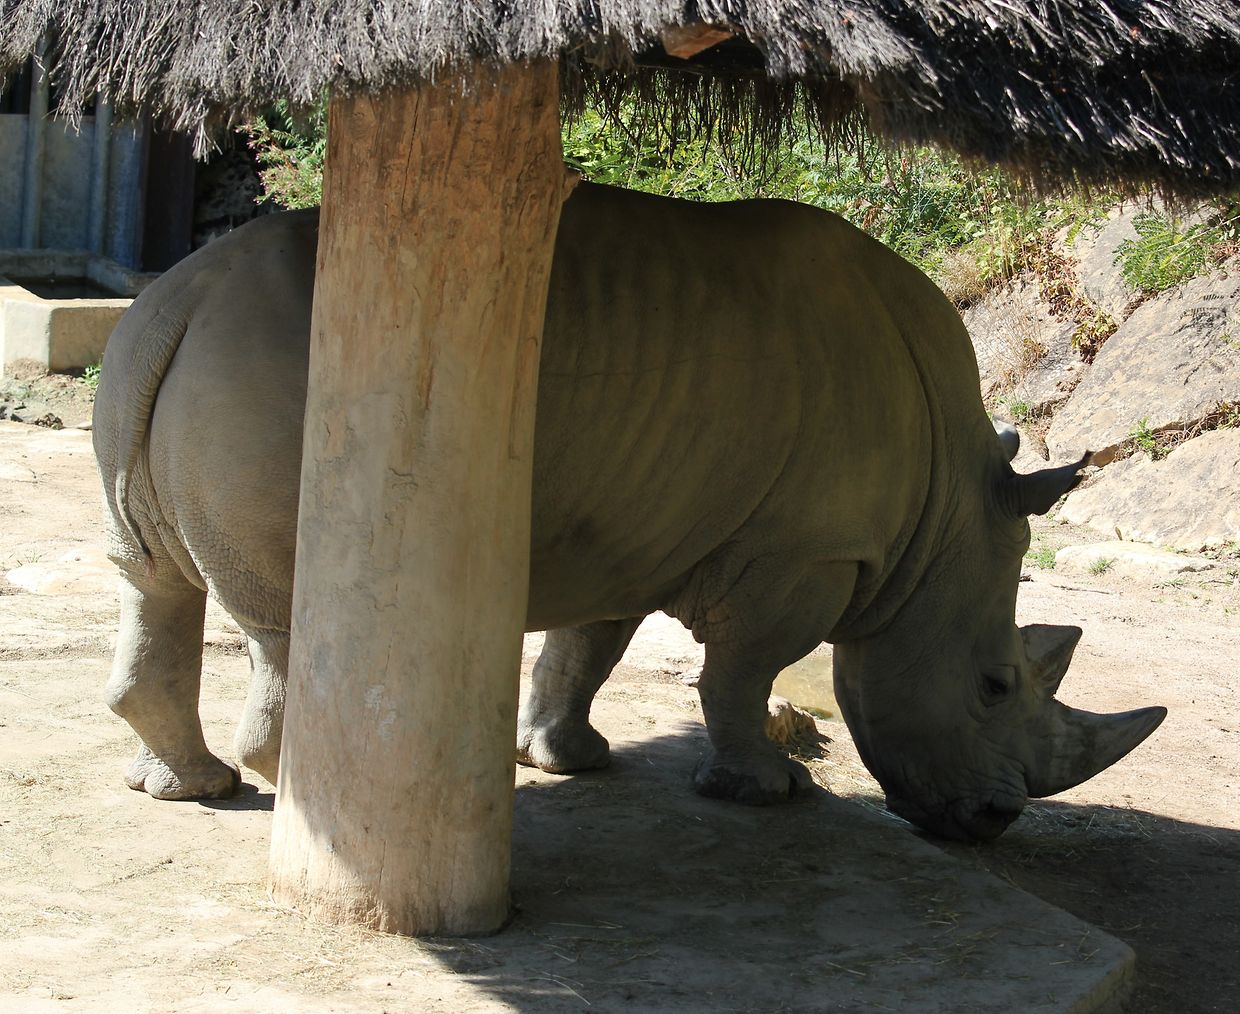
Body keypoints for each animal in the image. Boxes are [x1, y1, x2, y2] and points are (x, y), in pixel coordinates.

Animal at [92, 181, 1165, 841]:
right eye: (993, 685)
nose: (993, 823)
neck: (940, 524)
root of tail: (182, 299)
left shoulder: (629, 521)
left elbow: (586, 649)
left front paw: (565, 760)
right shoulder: (807, 553)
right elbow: (742, 670)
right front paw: (768, 792)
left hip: (154, 353)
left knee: (152, 580)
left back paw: (194, 788)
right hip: (278, 372)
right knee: (282, 616)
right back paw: (291, 790)